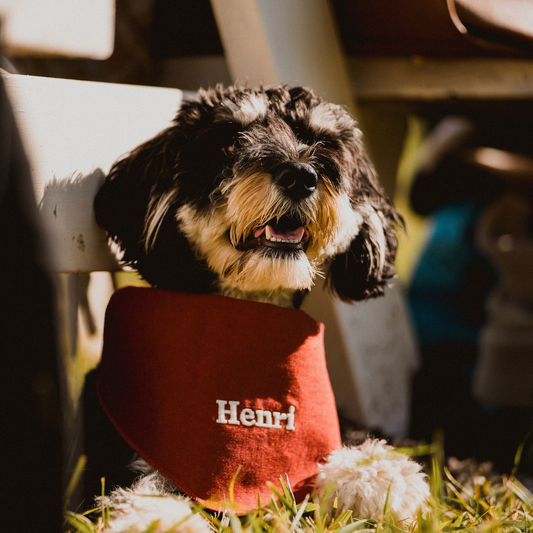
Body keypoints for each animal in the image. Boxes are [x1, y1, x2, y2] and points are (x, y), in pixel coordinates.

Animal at [84, 85, 428, 528]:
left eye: (322, 141)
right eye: (231, 140)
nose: (300, 176)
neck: (250, 311)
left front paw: (373, 473)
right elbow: (144, 485)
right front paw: (157, 519)